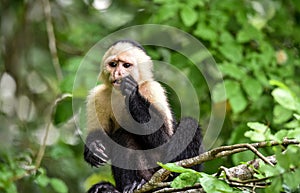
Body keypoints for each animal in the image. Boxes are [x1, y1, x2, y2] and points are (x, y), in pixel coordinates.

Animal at [83, 40, 203, 192]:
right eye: (113, 64)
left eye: (126, 65)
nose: (117, 73)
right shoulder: (98, 96)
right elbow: (98, 134)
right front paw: (94, 149)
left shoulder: (151, 89)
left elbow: (164, 141)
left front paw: (132, 92)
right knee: (123, 136)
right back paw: (126, 186)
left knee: (189, 124)